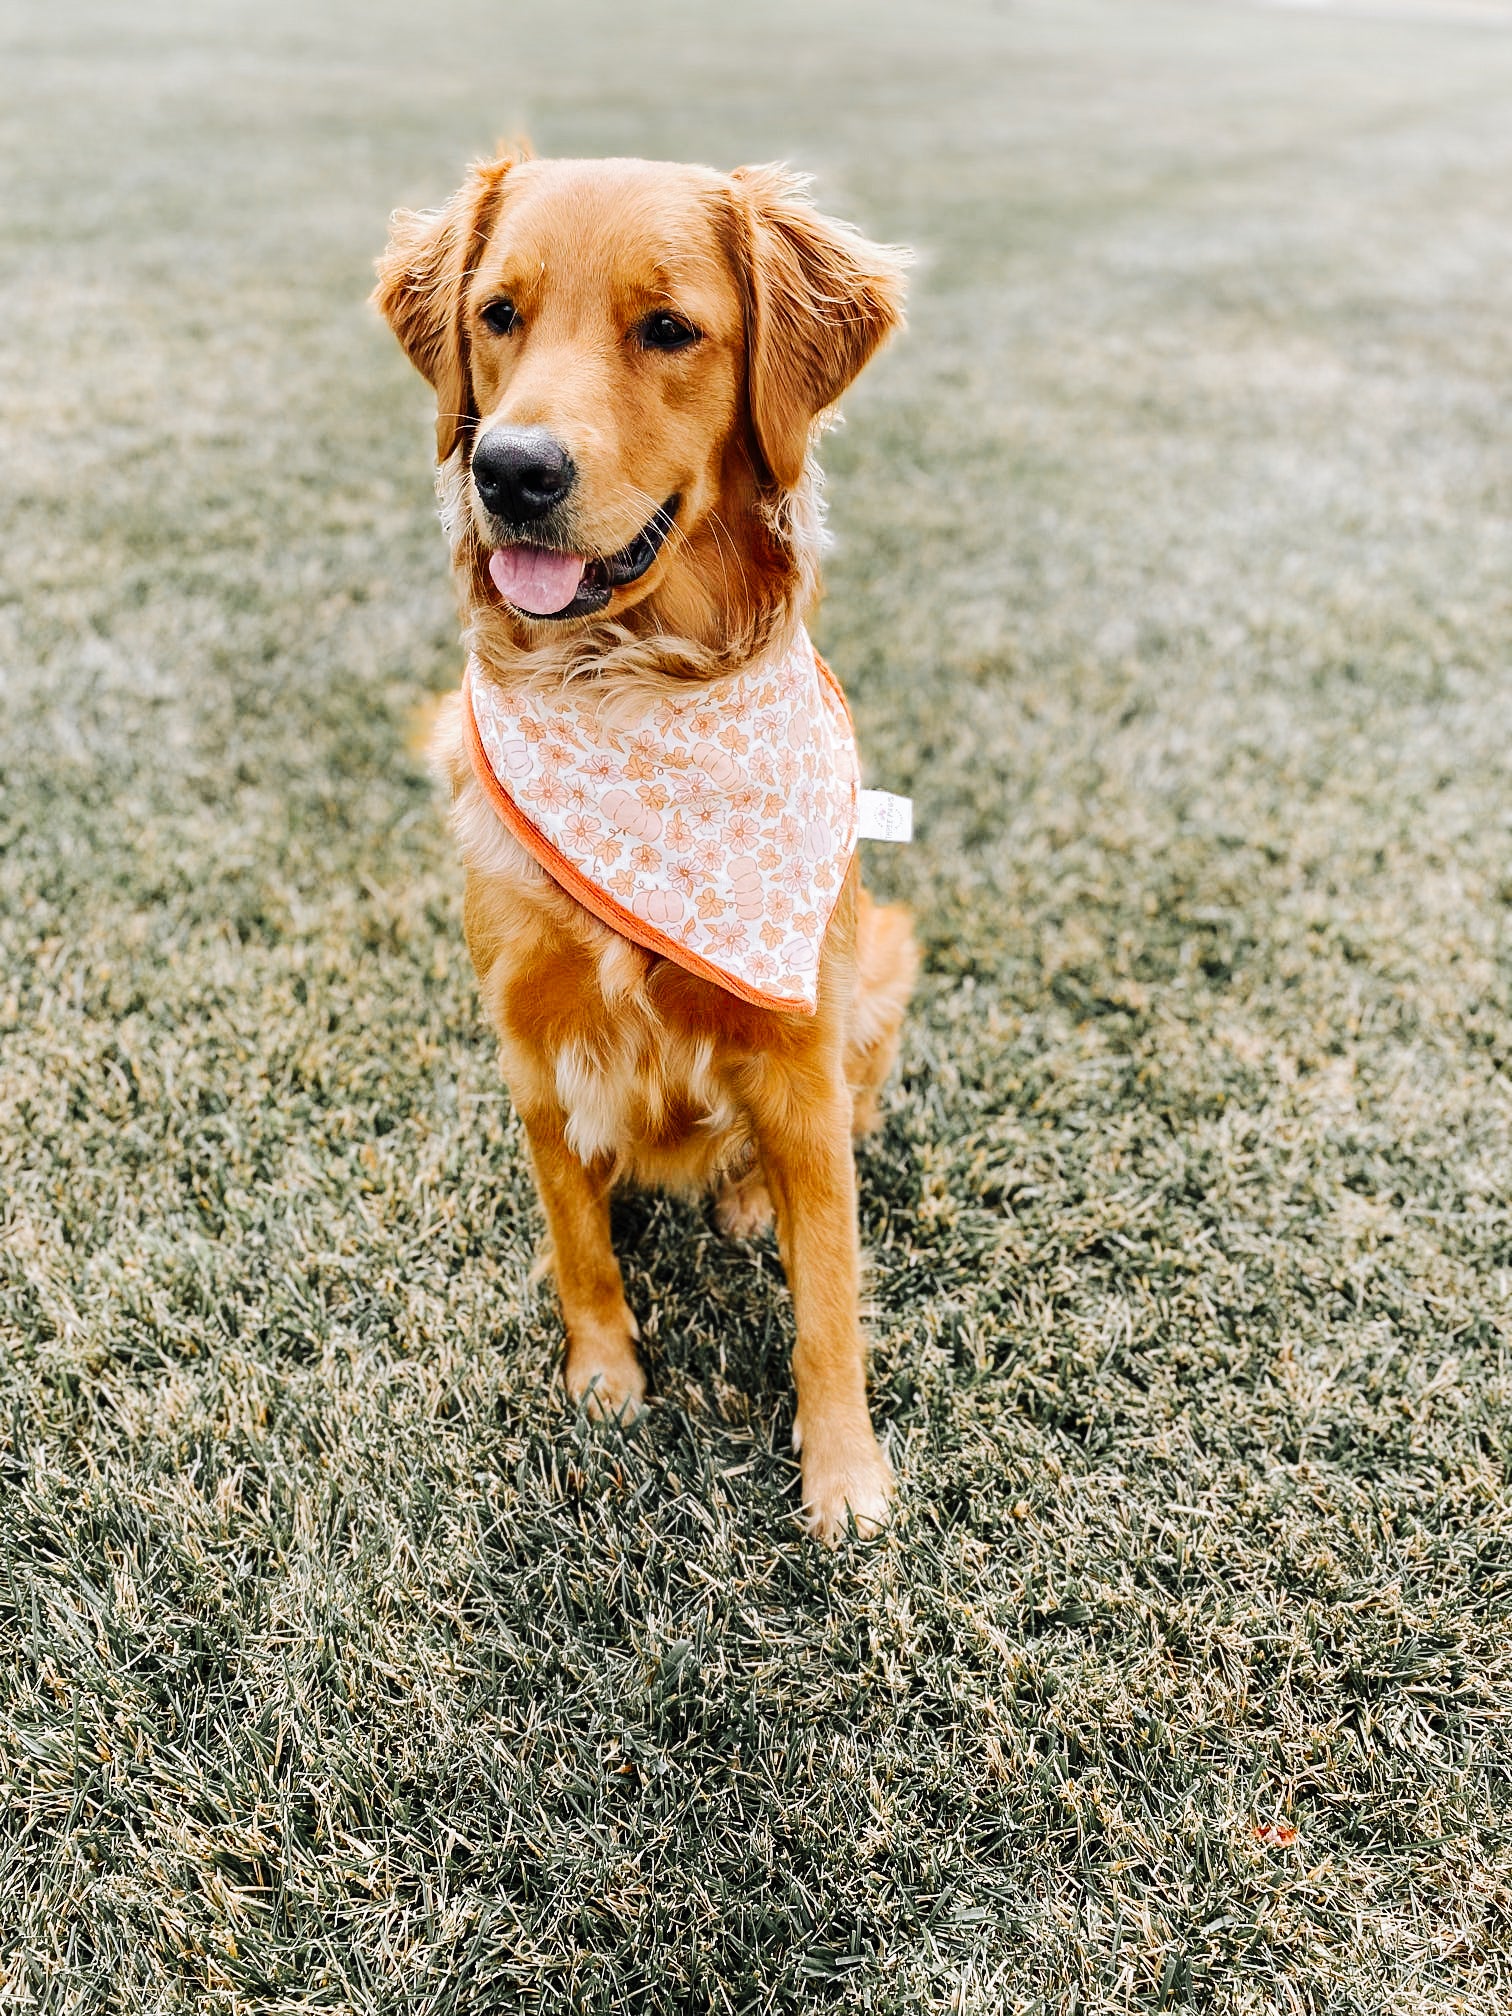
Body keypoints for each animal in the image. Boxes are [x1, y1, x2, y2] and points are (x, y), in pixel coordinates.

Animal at [376, 153, 923, 1540]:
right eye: (497, 314)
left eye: (668, 329)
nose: (510, 470)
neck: (627, 685)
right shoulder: (531, 1040)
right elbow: (579, 1240)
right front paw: (605, 1379)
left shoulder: (797, 1046)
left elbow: (827, 1294)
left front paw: (844, 1477)